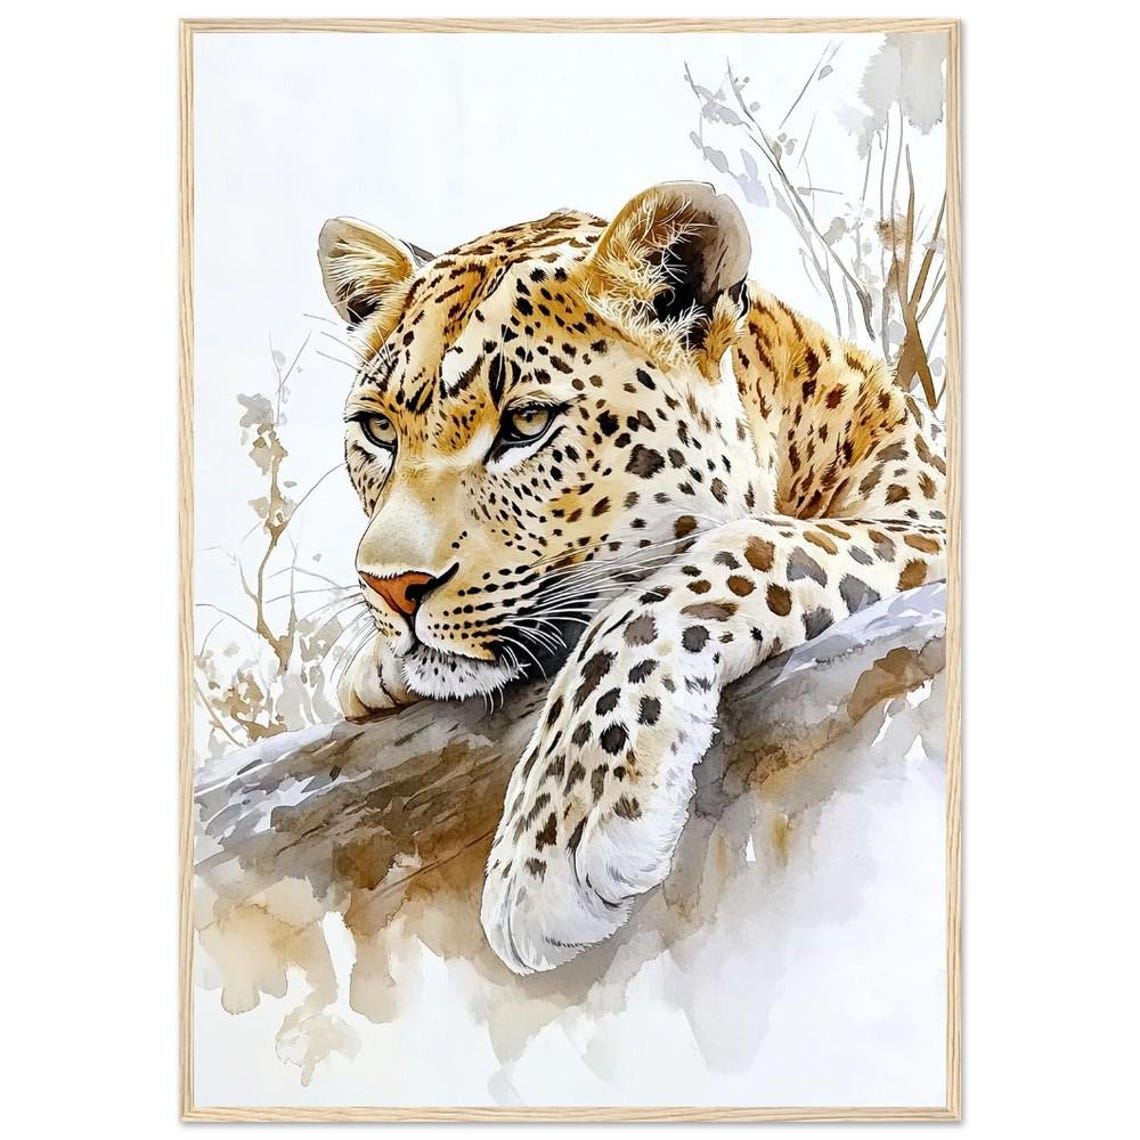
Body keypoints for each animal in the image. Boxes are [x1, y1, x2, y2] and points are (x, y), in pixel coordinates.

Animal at [317, 181, 948, 976]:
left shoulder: (929, 528)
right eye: (377, 431)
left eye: (527, 423)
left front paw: (557, 834)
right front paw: (375, 668)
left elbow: (736, 550)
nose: (389, 586)